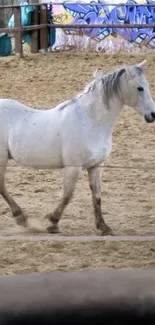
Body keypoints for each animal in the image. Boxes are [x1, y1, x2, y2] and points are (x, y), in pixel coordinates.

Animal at [0, 60, 155, 233]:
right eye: (140, 88)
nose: (152, 115)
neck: (90, 121)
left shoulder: (96, 166)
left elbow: (97, 196)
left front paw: (103, 226)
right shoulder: (73, 167)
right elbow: (67, 195)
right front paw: (52, 222)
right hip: (2, 159)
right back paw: (21, 217)